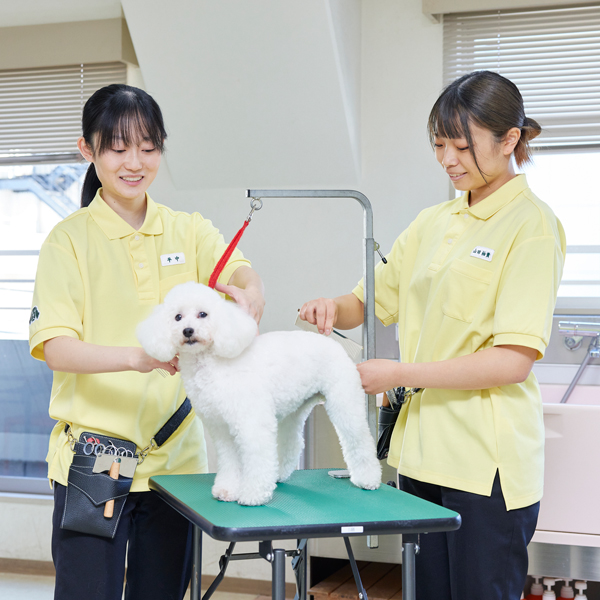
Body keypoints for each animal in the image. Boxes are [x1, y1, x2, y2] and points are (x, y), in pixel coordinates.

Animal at [136, 282, 380, 506]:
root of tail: (329, 341)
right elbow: (230, 461)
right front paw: (227, 490)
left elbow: (256, 459)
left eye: (203, 314)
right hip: (294, 409)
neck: (210, 364)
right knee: (292, 443)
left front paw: (253, 494)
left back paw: (368, 479)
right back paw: (278, 474)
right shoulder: (221, 429)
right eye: (177, 317)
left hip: (344, 401)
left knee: (359, 440)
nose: (188, 331)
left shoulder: (251, 423)